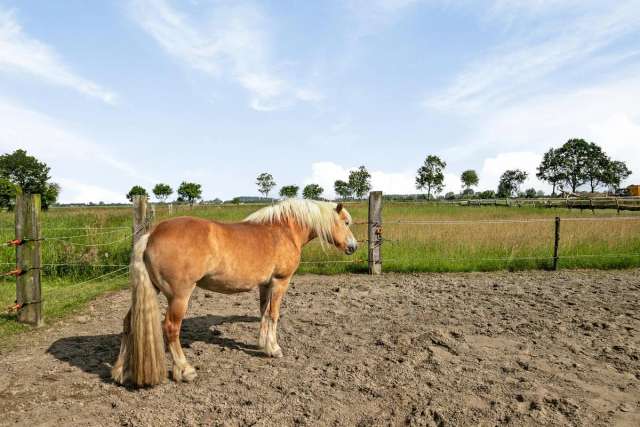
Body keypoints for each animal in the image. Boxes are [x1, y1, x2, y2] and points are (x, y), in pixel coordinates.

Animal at [112, 199, 358, 386]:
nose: (353, 247)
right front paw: (274, 349)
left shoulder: (265, 284)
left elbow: (263, 313)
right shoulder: (280, 282)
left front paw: (262, 344)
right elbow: (273, 315)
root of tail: (151, 235)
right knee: (171, 328)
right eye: (346, 222)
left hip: (151, 290)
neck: (284, 231)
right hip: (179, 296)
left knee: (128, 323)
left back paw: (120, 371)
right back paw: (185, 370)